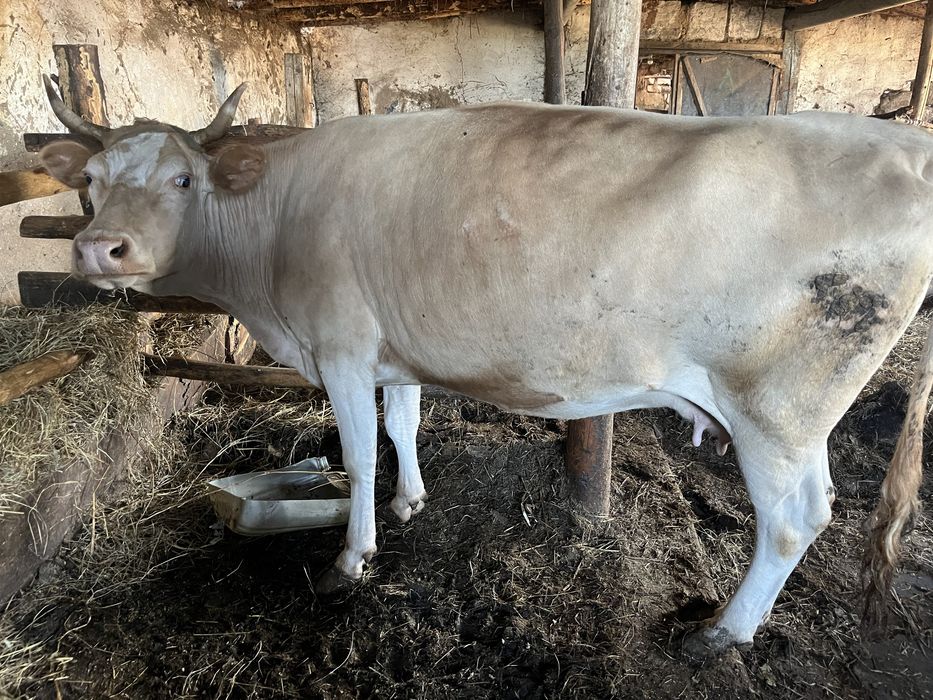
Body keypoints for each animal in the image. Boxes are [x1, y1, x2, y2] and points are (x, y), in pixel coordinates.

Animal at [38, 76, 931, 658]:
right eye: (92, 181)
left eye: (184, 177)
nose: (99, 248)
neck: (272, 225)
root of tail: (903, 143)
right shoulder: (390, 346)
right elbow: (401, 425)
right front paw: (410, 502)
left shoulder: (340, 347)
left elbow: (357, 457)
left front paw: (350, 559)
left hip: (775, 406)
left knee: (792, 520)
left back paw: (720, 634)